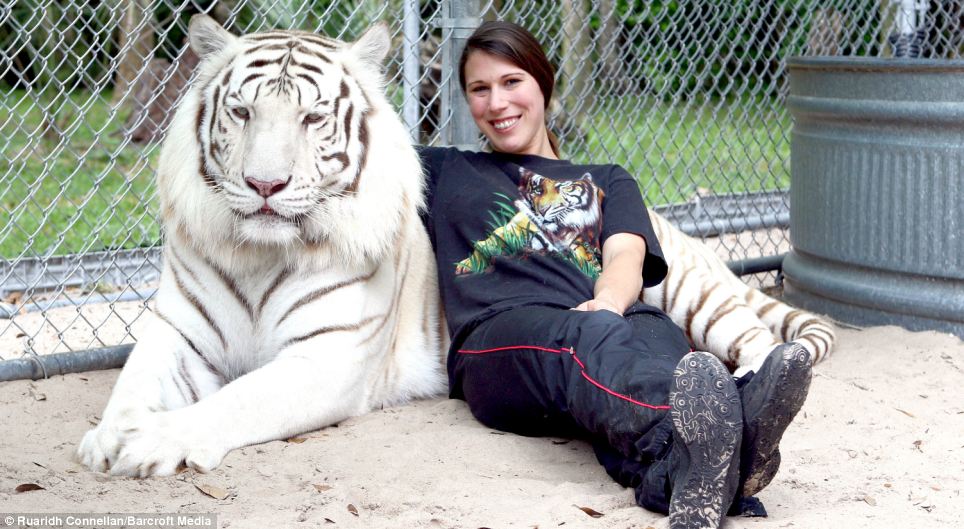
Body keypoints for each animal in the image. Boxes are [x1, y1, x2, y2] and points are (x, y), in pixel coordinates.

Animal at [77, 16, 446, 476]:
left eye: (312, 117)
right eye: (242, 112)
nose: (265, 184)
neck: (260, 255)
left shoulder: (330, 353)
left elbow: (237, 400)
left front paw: (150, 441)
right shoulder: (178, 333)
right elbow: (132, 383)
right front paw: (108, 436)